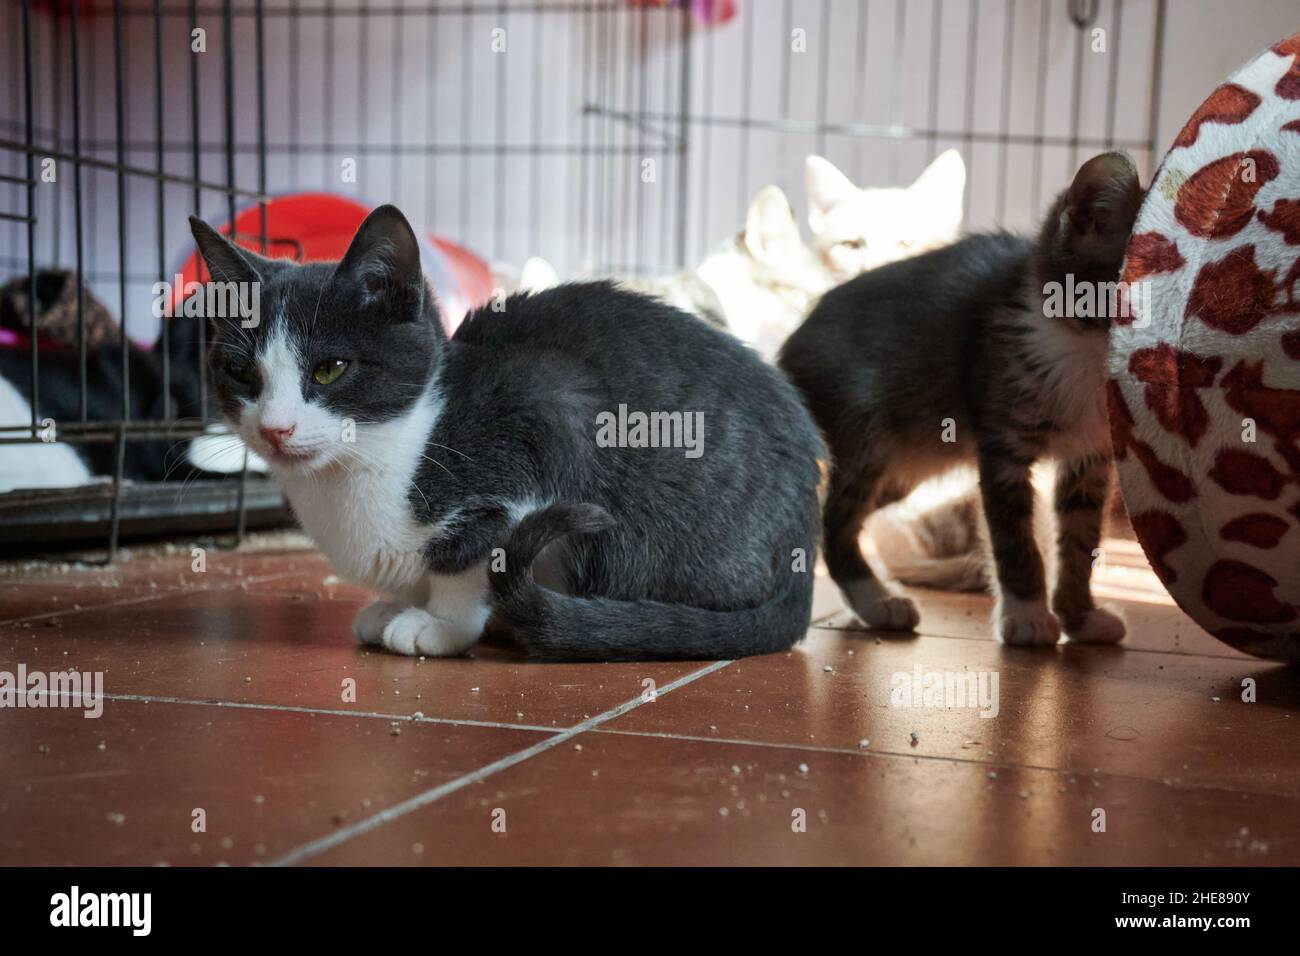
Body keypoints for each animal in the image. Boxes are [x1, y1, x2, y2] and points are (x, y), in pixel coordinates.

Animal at [189, 205, 821, 660]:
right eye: (242, 373)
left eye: (329, 369)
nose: (276, 428)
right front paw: (395, 605)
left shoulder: (545, 406)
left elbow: (471, 554)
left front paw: (440, 625)